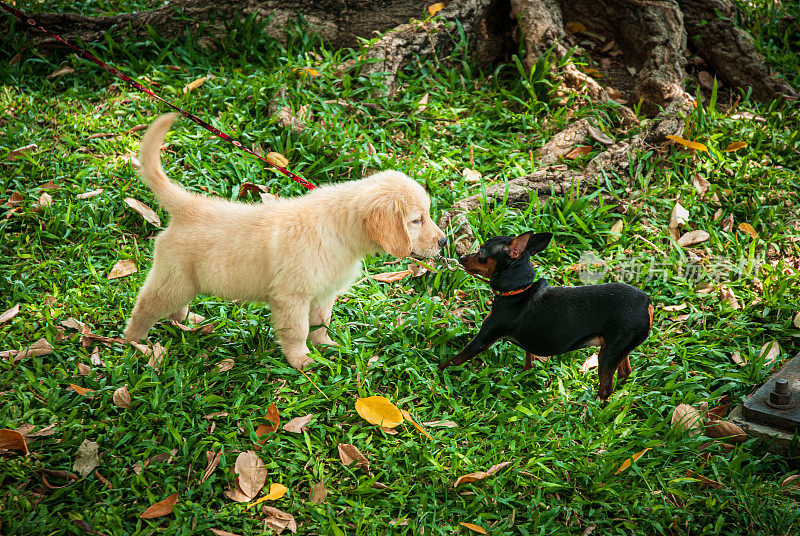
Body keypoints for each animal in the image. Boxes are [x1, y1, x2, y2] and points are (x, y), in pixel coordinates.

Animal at [126, 114, 450, 368]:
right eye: (416, 220)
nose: (444, 242)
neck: (340, 230)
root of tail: (188, 205)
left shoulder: (322, 292)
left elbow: (320, 323)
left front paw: (327, 347)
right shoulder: (292, 296)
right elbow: (297, 331)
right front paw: (302, 360)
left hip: (185, 280)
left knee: (174, 307)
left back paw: (188, 322)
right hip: (173, 278)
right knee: (145, 307)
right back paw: (134, 344)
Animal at [440, 232, 652, 400]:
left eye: (481, 254)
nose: (461, 256)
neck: (519, 290)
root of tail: (647, 304)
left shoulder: (484, 338)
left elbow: (457, 359)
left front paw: (437, 370)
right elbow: (529, 358)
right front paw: (524, 375)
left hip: (608, 354)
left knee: (606, 389)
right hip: (618, 348)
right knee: (625, 372)